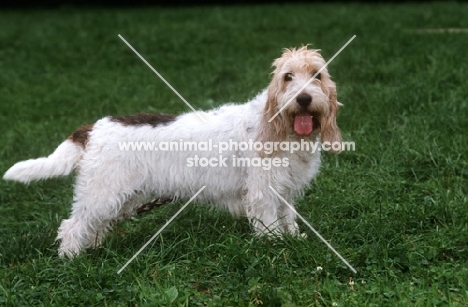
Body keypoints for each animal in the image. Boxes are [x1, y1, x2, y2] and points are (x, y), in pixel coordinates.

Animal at [4, 46, 344, 258]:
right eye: (287, 77)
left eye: (317, 75)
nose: (303, 99)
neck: (281, 128)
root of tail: (93, 129)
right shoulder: (263, 191)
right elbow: (270, 224)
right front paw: (276, 246)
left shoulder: (285, 189)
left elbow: (288, 218)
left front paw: (293, 238)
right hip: (102, 192)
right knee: (72, 226)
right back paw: (71, 258)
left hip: (120, 197)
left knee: (93, 225)